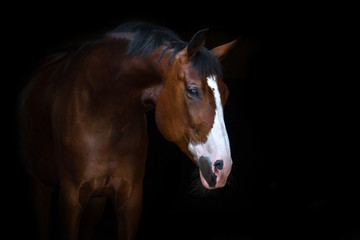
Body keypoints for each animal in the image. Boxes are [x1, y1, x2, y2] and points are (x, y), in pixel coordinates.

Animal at [19, 22, 238, 240]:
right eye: (193, 90)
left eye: (226, 93)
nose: (223, 167)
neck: (101, 114)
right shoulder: (70, 199)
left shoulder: (130, 200)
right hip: (39, 185)